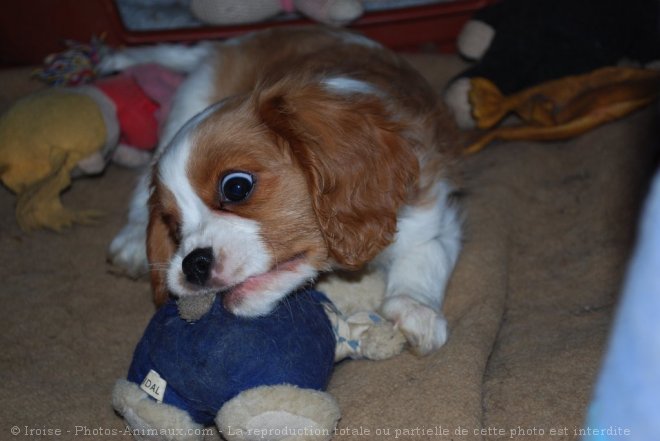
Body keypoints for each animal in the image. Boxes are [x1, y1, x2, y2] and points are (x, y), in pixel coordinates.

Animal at [105, 25, 462, 352]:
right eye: (174, 226)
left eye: (236, 187)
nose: (192, 264)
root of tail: (235, 41)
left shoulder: (431, 205)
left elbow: (428, 251)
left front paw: (416, 308)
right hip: (189, 101)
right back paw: (133, 241)